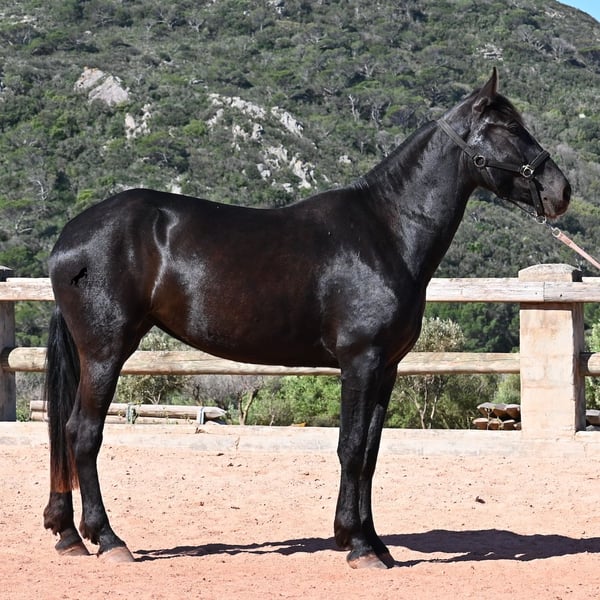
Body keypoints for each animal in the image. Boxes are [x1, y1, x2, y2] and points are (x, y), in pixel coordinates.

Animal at [42, 69, 570, 569]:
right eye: (508, 127)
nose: (561, 191)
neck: (386, 230)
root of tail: (70, 237)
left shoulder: (386, 368)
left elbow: (371, 452)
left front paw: (374, 544)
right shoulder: (360, 361)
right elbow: (351, 447)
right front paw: (357, 546)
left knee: (66, 432)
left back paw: (67, 534)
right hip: (106, 352)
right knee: (82, 433)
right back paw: (108, 539)